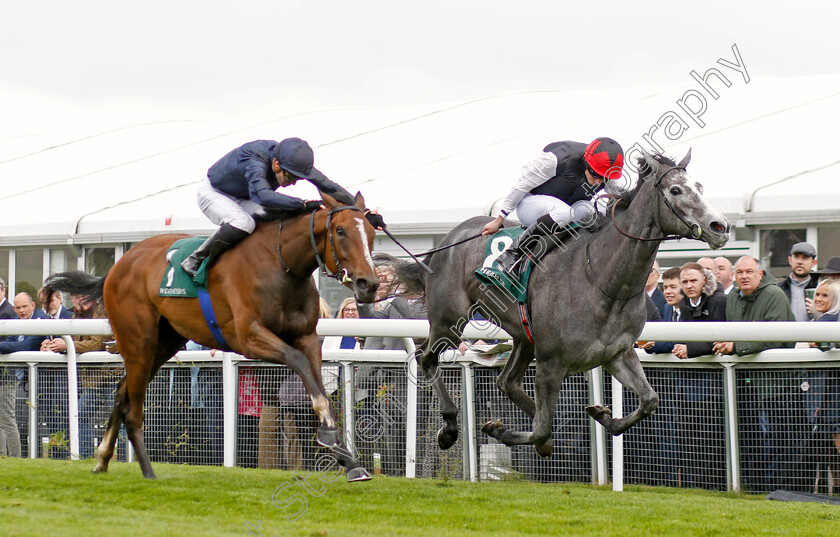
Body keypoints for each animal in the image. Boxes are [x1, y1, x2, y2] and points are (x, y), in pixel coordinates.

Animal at [42, 191, 378, 480]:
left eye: (372, 233)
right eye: (341, 231)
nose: (369, 284)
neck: (280, 264)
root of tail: (117, 267)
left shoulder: (308, 337)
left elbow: (316, 382)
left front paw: (348, 459)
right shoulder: (248, 337)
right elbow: (299, 363)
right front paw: (330, 437)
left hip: (165, 342)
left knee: (122, 391)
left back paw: (102, 458)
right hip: (139, 340)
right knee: (132, 408)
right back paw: (148, 471)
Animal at [394, 151, 728, 456]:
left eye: (699, 186)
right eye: (676, 190)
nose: (720, 226)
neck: (602, 280)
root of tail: (445, 241)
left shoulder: (618, 354)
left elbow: (649, 401)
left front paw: (602, 414)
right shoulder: (550, 363)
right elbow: (541, 429)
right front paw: (499, 430)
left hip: (523, 335)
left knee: (506, 381)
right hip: (450, 319)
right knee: (426, 357)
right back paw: (450, 428)